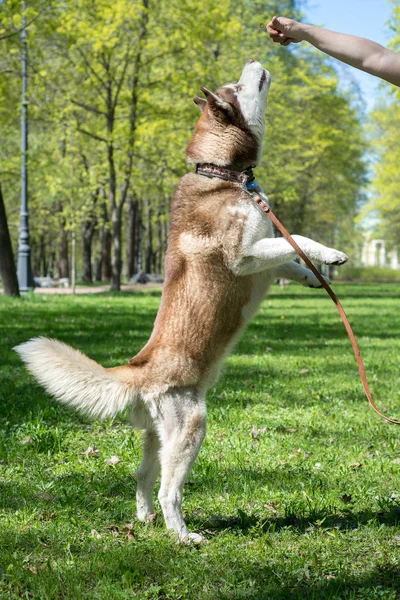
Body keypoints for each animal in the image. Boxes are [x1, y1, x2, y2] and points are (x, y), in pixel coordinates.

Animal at [15, 59, 346, 544]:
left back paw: (145, 518)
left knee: (140, 475)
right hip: (192, 427)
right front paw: (330, 254)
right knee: (169, 489)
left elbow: (289, 259)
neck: (221, 173)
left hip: (159, 437)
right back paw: (183, 535)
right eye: (238, 86)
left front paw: (312, 277)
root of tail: (139, 368)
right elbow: (296, 239)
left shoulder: (262, 261)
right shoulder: (244, 255)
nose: (255, 61)